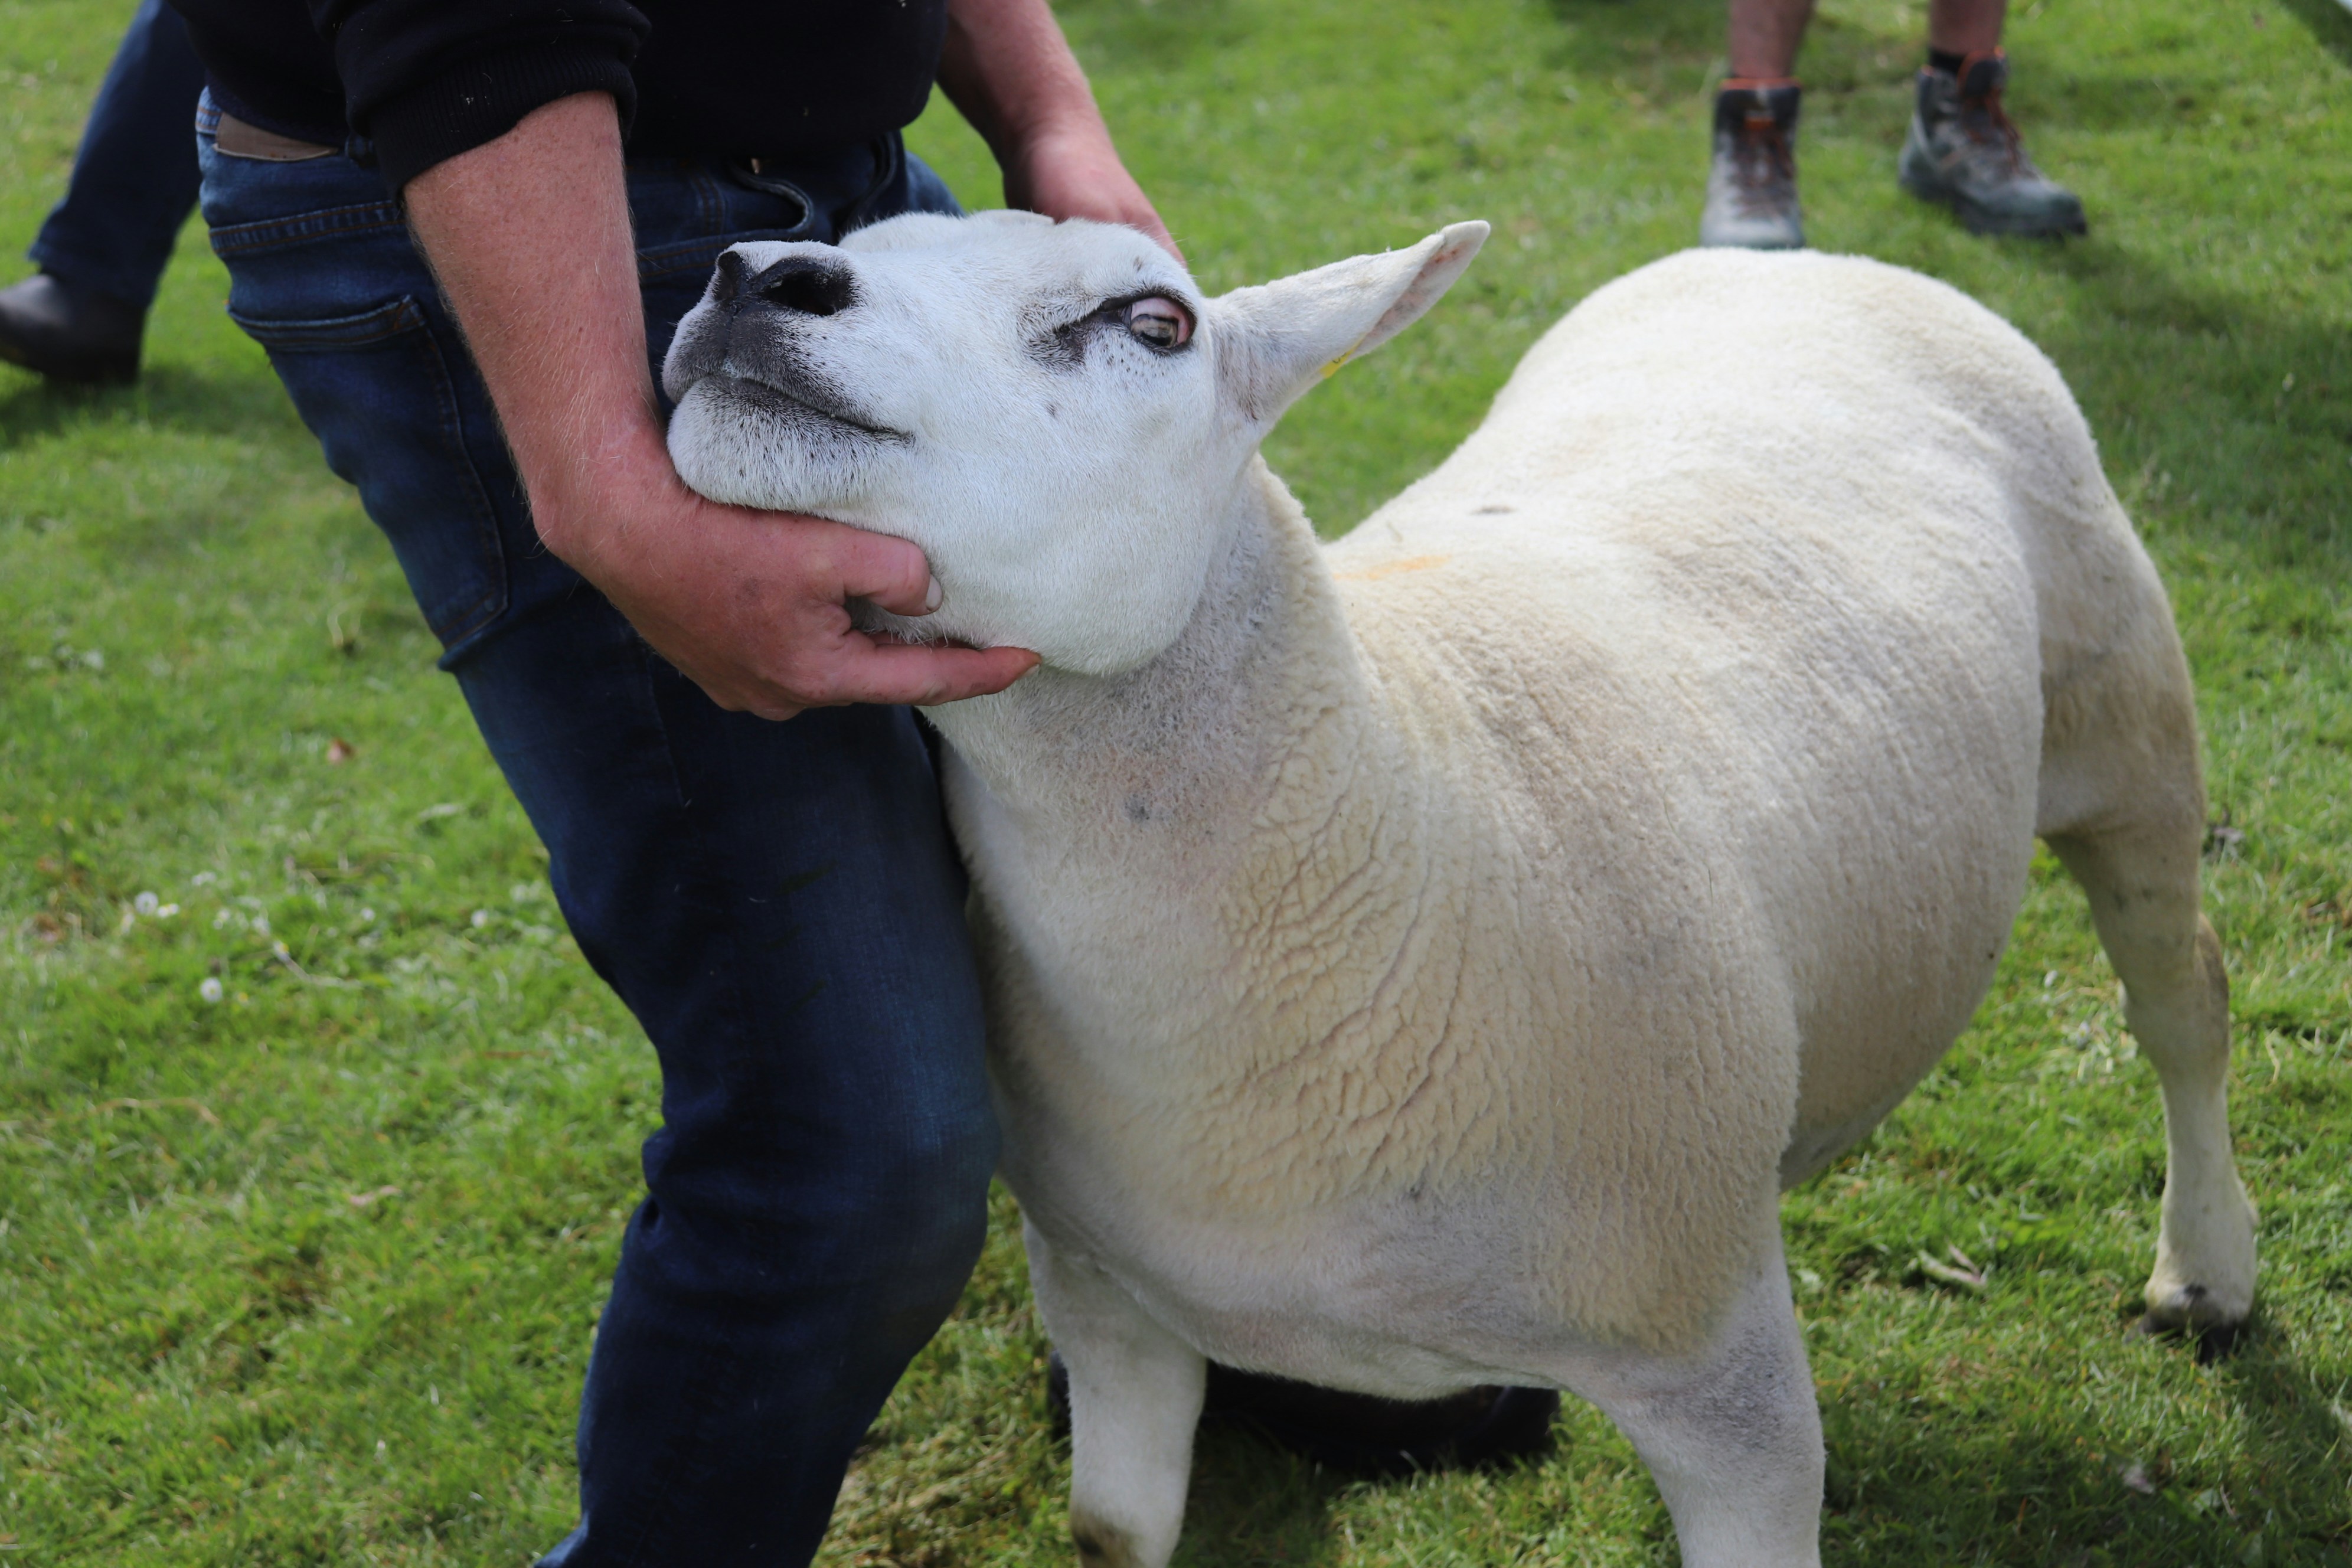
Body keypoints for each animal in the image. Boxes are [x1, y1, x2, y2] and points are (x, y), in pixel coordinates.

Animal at [660, 213, 2258, 1568]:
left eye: (1155, 319)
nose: (760, 274)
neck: (1398, 831)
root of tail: (1792, 262)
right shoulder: (1109, 1308)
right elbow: (1115, 1531)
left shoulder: (1718, 1368)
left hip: (2126, 719)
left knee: (2184, 1001)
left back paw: (2208, 1274)